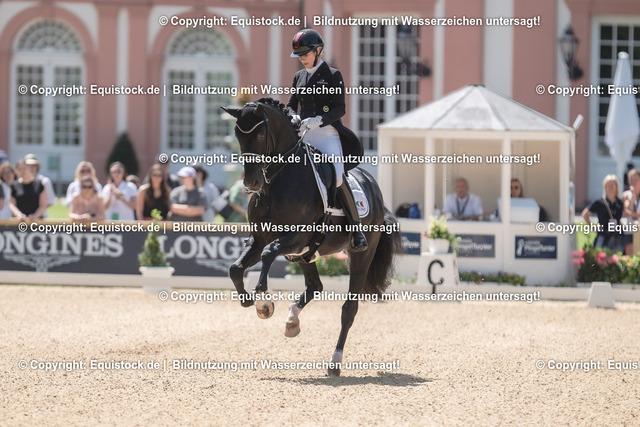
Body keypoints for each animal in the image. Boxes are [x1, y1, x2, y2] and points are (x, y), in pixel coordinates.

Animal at [222, 98, 401, 376]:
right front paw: (248, 301)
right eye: (237, 134)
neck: (277, 181)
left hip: (360, 255)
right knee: (315, 286)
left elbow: (268, 254)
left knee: (349, 309)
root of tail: (372, 184)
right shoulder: (259, 238)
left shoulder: (295, 236)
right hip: (305, 254)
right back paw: (291, 321)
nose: (251, 183)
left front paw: (263, 302)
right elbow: (235, 268)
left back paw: (334, 362)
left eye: (260, 134)